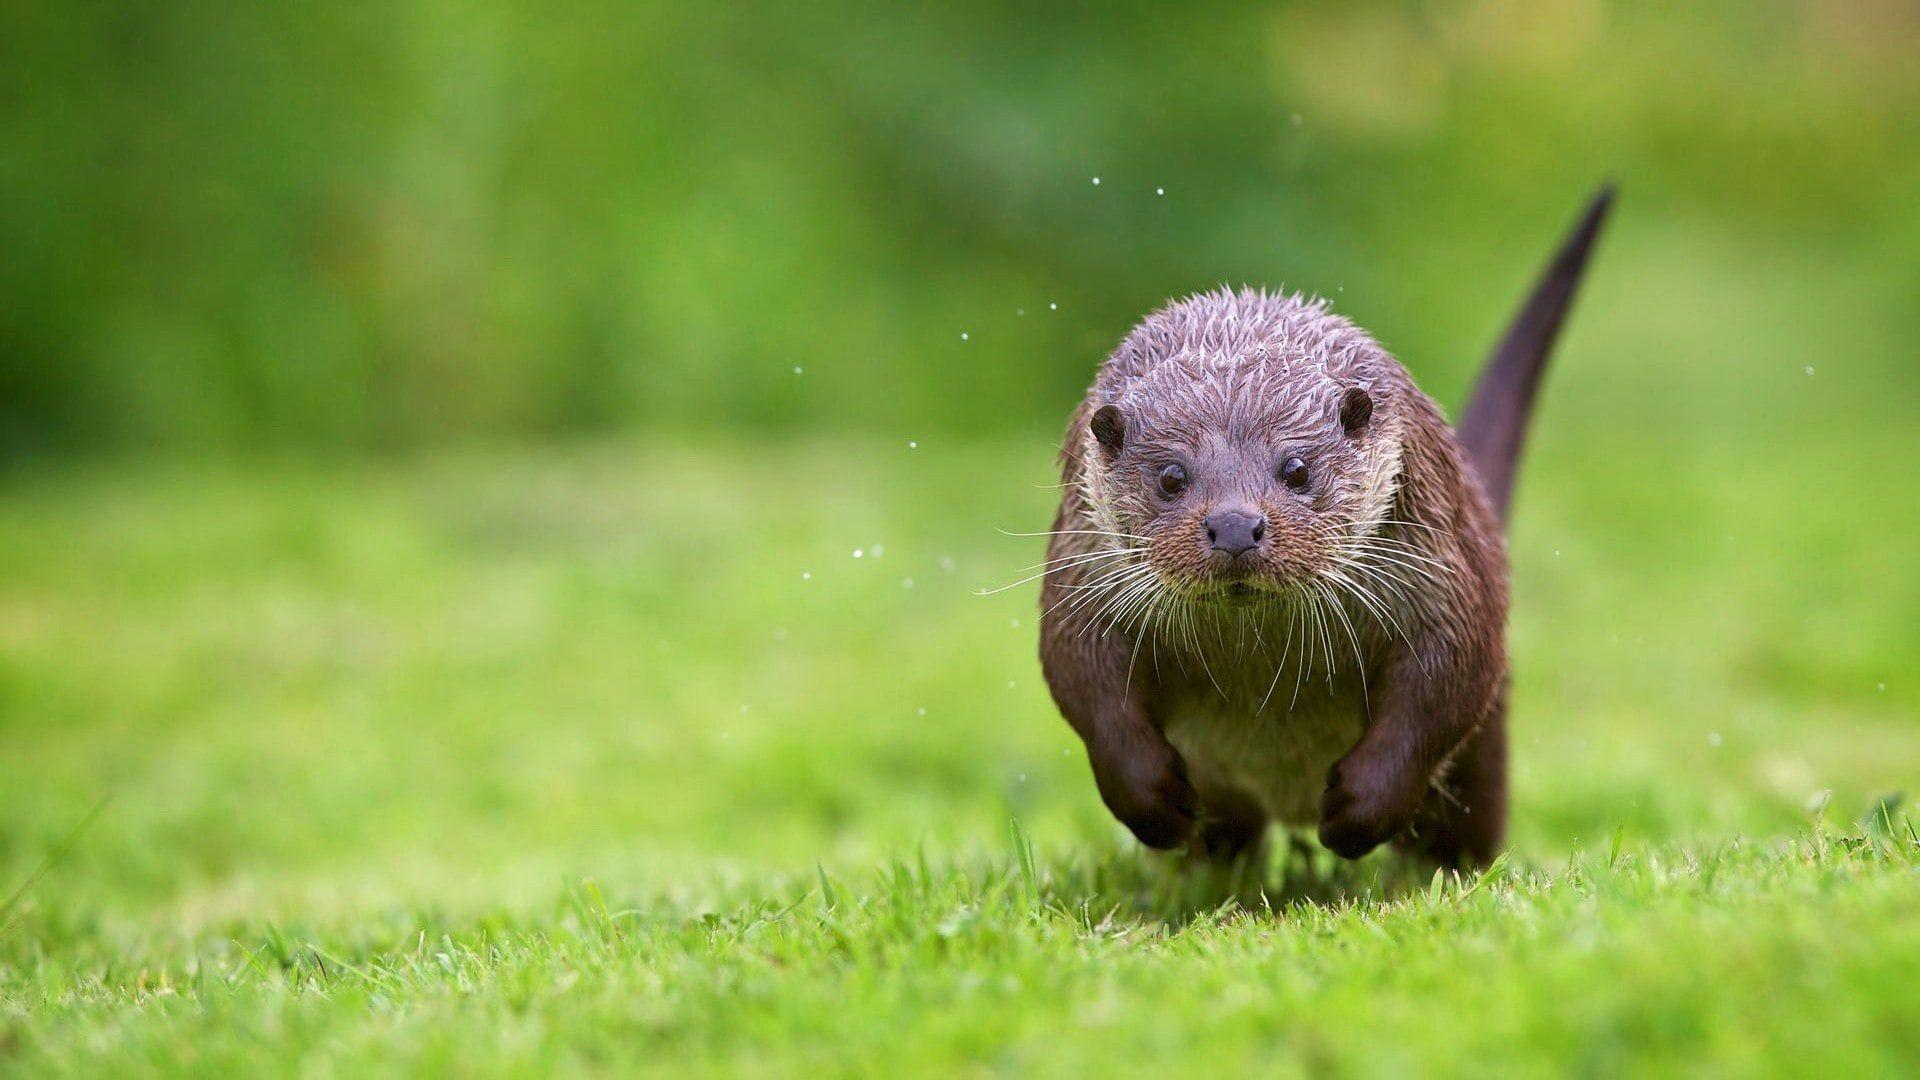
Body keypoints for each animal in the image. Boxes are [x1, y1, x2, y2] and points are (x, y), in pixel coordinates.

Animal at [1044, 189, 1612, 864]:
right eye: (1172, 476)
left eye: (1296, 468)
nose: (1234, 526)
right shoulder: (1082, 576)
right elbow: (1083, 682)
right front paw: (1156, 805)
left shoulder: (1444, 581)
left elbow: (1443, 687)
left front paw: (1356, 811)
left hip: (1488, 749)